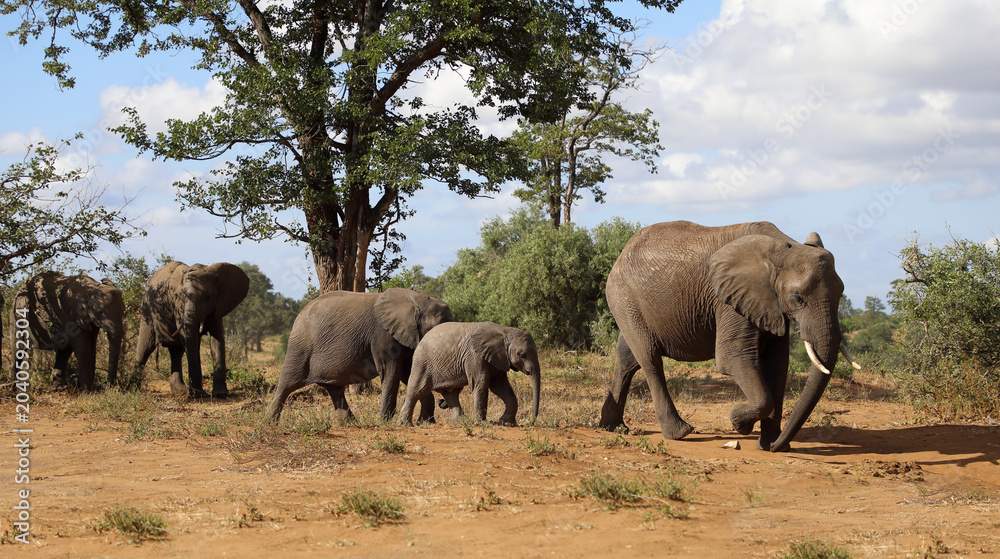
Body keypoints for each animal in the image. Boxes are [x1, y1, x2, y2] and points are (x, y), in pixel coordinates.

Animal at [134, 261, 249, 398]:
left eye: (208, 297)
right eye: (181, 296)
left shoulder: (218, 306)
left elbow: (217, 339)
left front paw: (221, 394)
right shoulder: (178, 306)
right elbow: (190, 339)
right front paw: (199, 395)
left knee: (176, 351)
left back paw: (179, 391)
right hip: (146, 308)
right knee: (144, 348)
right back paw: (132, 388)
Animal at [266, 288, 454, 423]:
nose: (442, 402)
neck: (415, 299)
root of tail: (299, 314)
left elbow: (407, 374)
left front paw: (426, 423)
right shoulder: (382, 335)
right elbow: (392, 372)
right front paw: (384, 423)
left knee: (334, 389)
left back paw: (351, 424)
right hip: (300, 346)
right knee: (287, 384)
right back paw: (269, 424)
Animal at [398, 322, 541, 427]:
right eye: (522, 355)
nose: (531, 422)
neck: (504, 331)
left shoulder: (498, 359)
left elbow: (500, 387)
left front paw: (506, 423)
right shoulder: (475, 356)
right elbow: (481, 384)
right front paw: (482, 423)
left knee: (451, 393)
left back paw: (460, 422)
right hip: (422, 362)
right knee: (417, 391)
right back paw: (404, 424)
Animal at [598, 221, 860, 452]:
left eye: (841, 292)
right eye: (797, 298)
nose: (780, 445)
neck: (784, 246)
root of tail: (622, 253)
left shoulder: (770, 304)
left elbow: (777, 365)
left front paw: (769, 445)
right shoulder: (730, 300)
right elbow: (733, 358)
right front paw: (739, 423)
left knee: (627, 359)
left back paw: (613, 428)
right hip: (623, 296)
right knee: (649, 358)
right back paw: (679, 432)